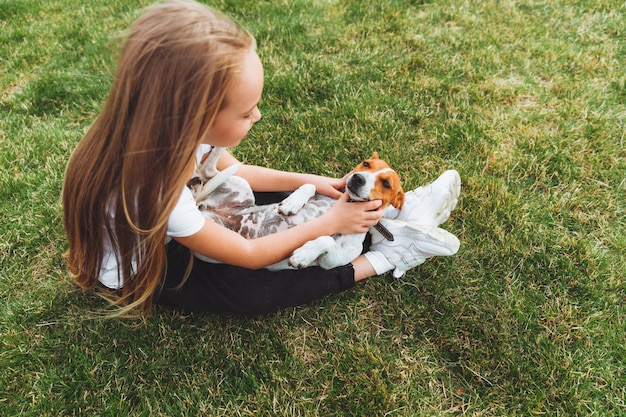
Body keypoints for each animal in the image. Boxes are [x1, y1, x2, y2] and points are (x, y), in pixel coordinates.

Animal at [186, 146, 404, 270]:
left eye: (386, 184)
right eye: (365, 164)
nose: (357, 178)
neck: (347, 202)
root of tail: (204, 210)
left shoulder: (331, 262)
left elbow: (325, 239)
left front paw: (303, 254)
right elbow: (310, 184)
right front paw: (292, 203)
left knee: (206, 176)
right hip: (241, 184)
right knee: (207, 173)